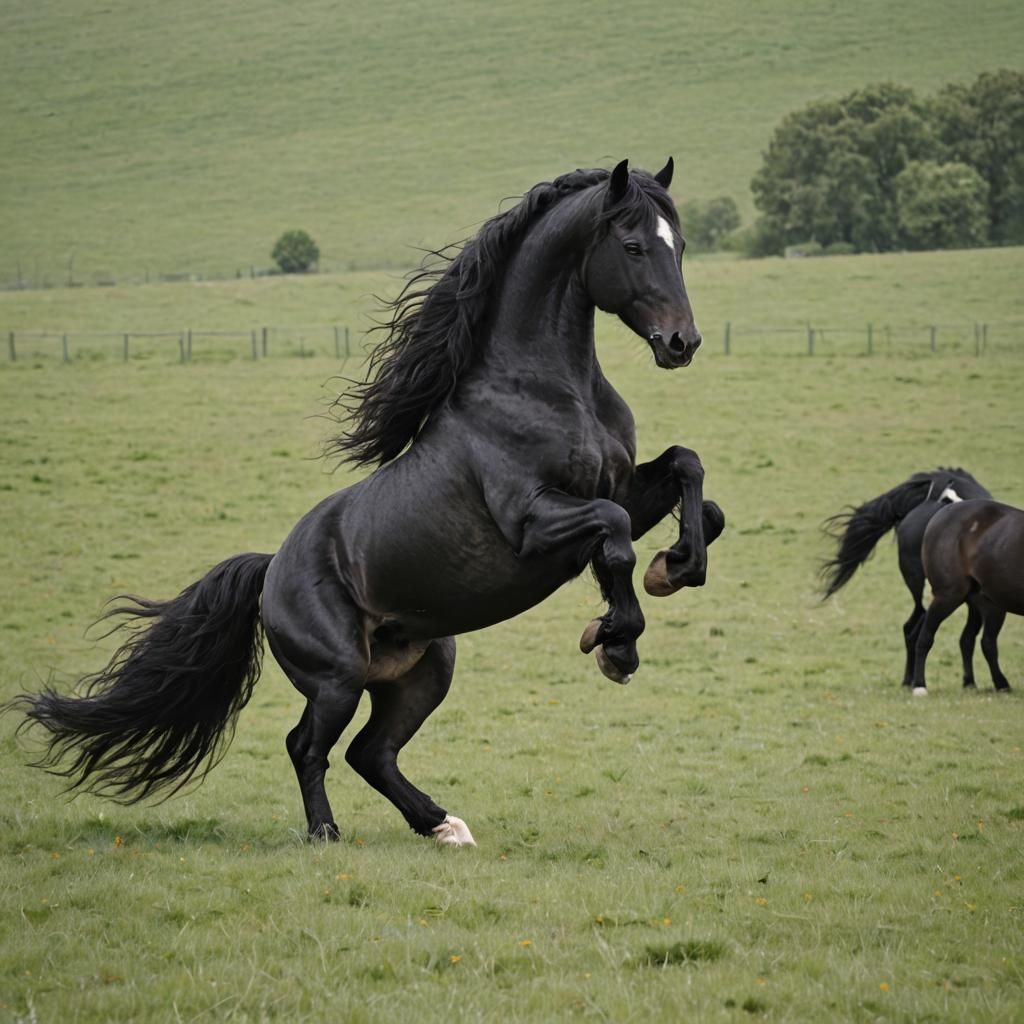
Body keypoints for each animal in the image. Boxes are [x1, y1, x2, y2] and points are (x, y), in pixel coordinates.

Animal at [7, 159, 724, 846]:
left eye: (682, 244)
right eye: (632, 246)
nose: (682, 343)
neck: (544, 388)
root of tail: (270, 571)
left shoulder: (623, 489)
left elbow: (689, 478)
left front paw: (673, 570)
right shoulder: (533, 522)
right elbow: (614, 535)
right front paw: (616, 644)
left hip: (425, 669)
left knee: (370, 753)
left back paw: (443, 825)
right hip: (339, 676)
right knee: (309, 746)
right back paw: (326, 833)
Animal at [820, 468, 999, 688]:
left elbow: (968, 637)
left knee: (914, 628)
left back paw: (910, 680)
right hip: (927, 590)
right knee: (915, 628)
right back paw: (914, 680)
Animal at [911, 498, 1023, 694]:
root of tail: (941, 513)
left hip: (983, 604)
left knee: (972, 640)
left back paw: (976, 683)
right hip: (949, 596)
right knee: (926, 636)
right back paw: (920, 686)